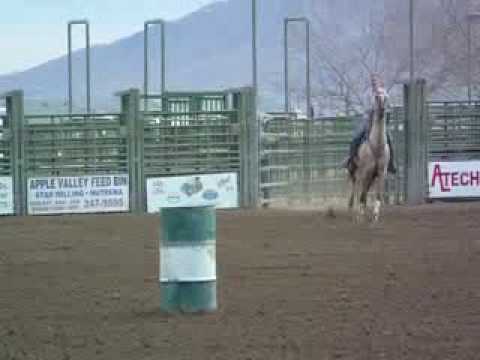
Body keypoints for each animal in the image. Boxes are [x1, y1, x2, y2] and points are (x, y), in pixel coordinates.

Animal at [344, 75, 390, 222]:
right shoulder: (365, 172)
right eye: (376, 96)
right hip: (354, 172)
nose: (382, 108)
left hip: (369, 177)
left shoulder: (381, 173)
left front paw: (375, 215)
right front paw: (360, 215)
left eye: (386, 96)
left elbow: (378, 195)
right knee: (355, 189)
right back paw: (352, 209)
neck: (376, 146)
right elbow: (362, 195)